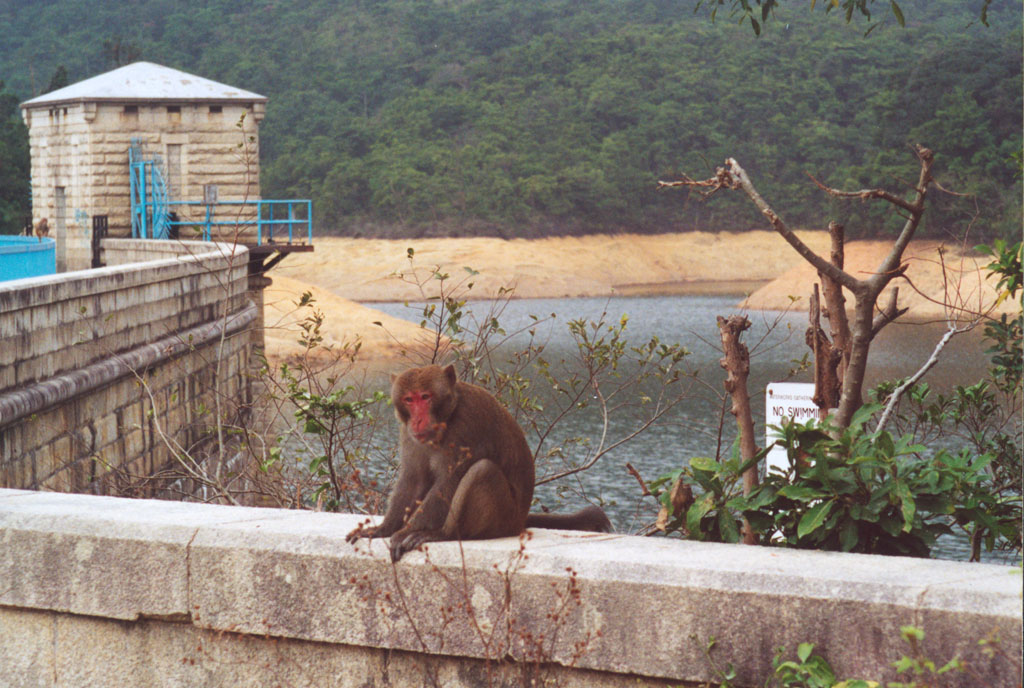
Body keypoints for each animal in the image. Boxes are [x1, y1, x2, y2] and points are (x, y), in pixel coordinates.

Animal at [348, 362, 610, 561]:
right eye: (409, 399)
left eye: (425, 397)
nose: (418, 420)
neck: (448, 416)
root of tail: (519, 521)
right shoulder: (408, 434)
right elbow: (414, 480)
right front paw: (383, 529)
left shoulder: (466, 426)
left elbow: (451, 480)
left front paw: (407, 531)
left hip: (503, 518)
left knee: (482, 470)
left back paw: (442, 534)